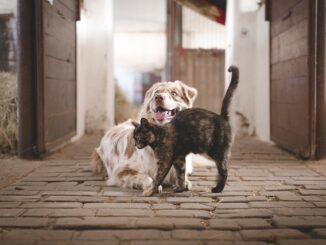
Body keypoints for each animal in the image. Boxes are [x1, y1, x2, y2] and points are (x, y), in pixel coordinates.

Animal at [132, 66, 239, 196]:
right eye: (134, 138)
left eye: (139, 137)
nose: (136, 145)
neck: (160, 134)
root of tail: (221, 116)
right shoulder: (179, 159)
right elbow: (181, 174)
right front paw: (180, 188)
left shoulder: (165, 161)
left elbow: (158, 177)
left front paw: (150, 191)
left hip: (218, 152)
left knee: (224, 171)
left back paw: (218, 189)